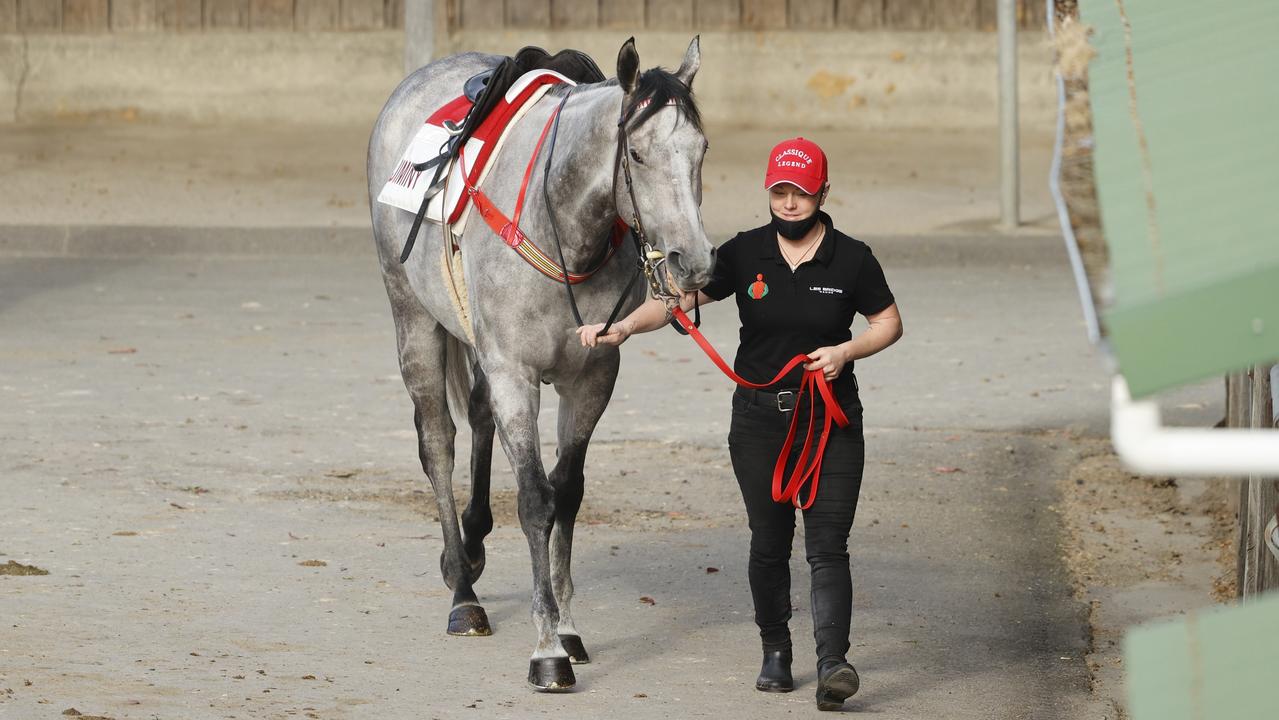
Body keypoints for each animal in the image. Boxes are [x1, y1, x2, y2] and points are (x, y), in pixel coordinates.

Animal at [365, 39, 716, 690]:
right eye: (636, 153)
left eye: (701, 149)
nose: (696, 262)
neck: (560, 227)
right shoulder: (516, 376)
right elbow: (535, 500)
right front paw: (548, 649)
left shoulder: (593, 378)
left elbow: (568, 493)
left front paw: (570, 630)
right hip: (413, 316)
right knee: (438, 441)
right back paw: (463, 592)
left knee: (478, 417)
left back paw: (472, 545)